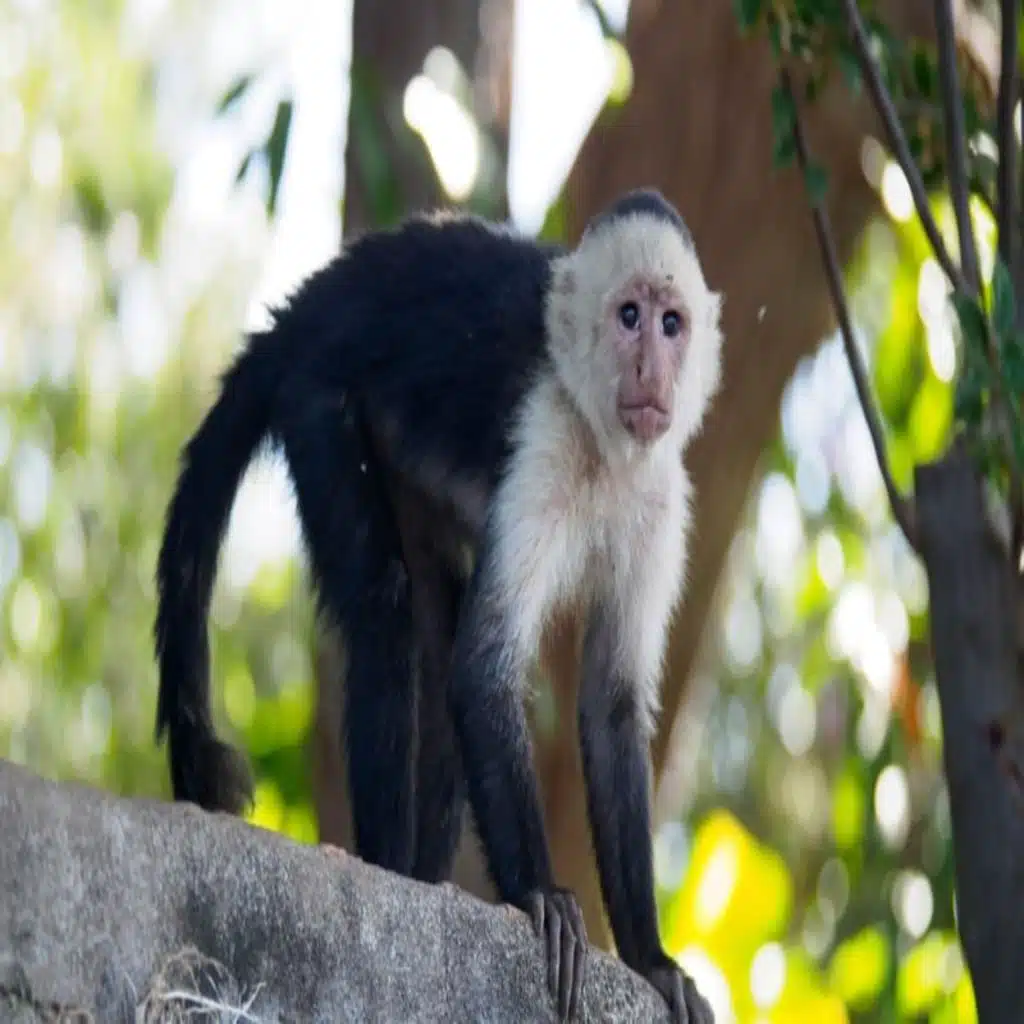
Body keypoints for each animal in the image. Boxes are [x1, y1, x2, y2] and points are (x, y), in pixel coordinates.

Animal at [154, 188, 722, 1023]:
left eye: (672, 323)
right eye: (628, 317)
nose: (653, 366)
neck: (599, 441)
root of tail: (306, 306)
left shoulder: (660, 496)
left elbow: (610, 704)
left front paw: (650, 960)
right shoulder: (542, 437)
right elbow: (484, 666)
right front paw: (541, 896)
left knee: (439, 635)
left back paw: (422, 878)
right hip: (319, 395)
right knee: (386, 617)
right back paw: (387, 877)